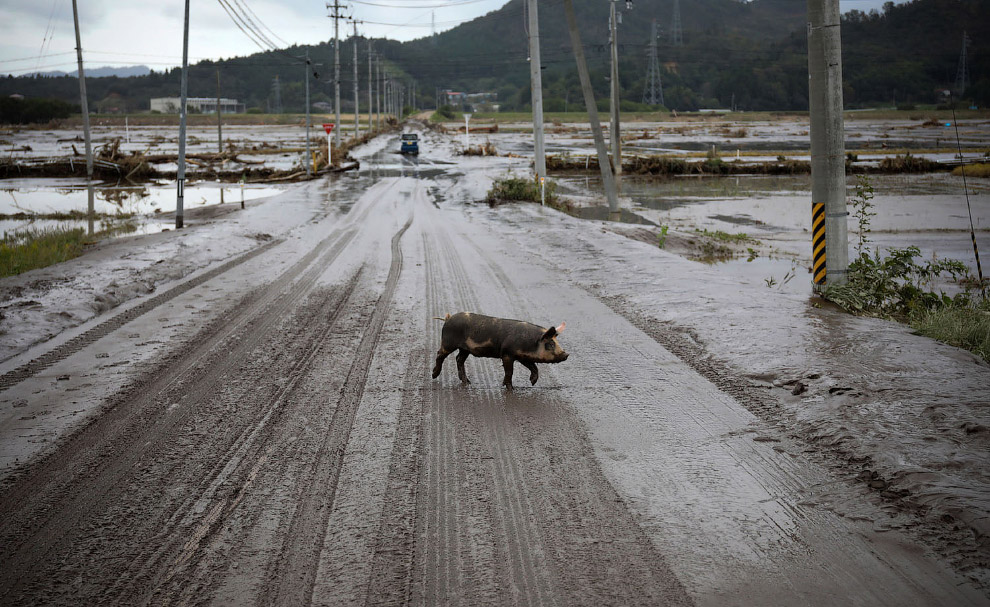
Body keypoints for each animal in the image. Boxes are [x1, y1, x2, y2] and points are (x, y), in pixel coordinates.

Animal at [430, 314, 568, 390]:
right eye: (550, 344)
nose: (566, 354)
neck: (529, 342)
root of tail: (448, 319)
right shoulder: (507, 354)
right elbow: (509, 372)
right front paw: (511, 389)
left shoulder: (522, 356)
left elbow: (534, 367)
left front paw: (532, 382)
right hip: (448, 342)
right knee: (439, 354)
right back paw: (433, 375)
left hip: (465, 349)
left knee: (459, 359)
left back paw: (467, 382)